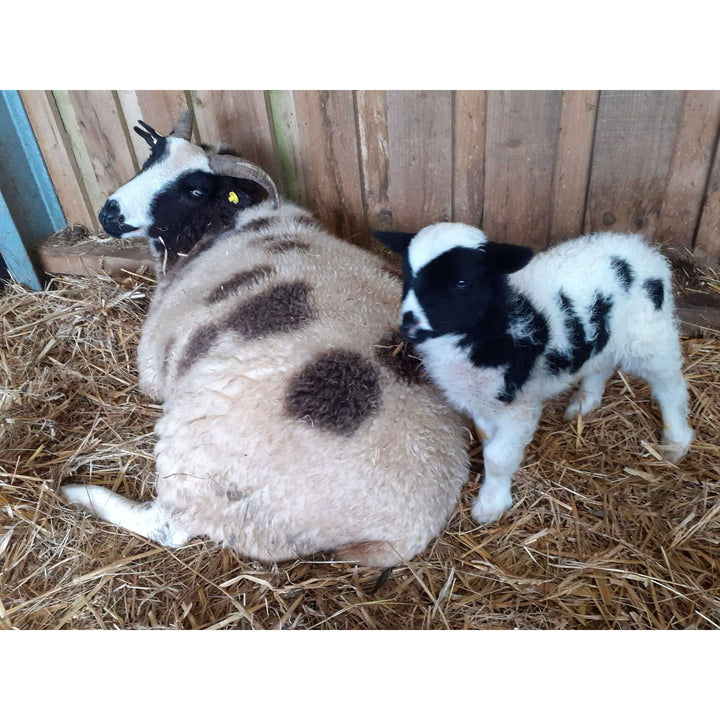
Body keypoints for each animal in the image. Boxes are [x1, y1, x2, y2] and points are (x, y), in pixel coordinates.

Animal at [61, 112, 469, 567]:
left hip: (202, 465)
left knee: (169, 526)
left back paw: (80, 493)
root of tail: (404, 531)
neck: (230, 223)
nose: (109, 214)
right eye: (152, 157)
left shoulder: (153, 361)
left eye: (194, 189)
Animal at [374, 223, 694, 525]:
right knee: (601, 363)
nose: (410, 324)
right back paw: (585, 403)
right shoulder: (481, 399)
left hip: (649, 336)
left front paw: (491, 505)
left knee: (670, 386)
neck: (494, 323)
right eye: (409, 276)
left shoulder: (518, 404)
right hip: (606, 333)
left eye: (462, 282)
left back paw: (676, 441)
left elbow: (497, 456)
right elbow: (487, 440)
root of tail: (642, 247)